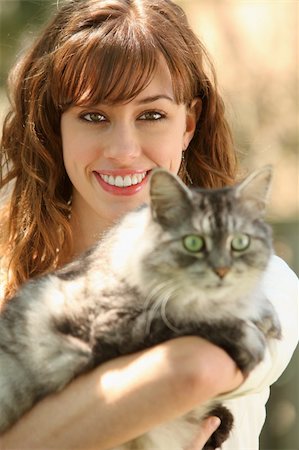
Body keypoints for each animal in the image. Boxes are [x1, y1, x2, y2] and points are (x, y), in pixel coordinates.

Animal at [0, 167, 282, 448]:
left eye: (240, 243)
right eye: (193, 243)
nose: (222, 270)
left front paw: (268, 318)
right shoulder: (115, 323)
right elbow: (193, 320)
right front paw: (250, 339)